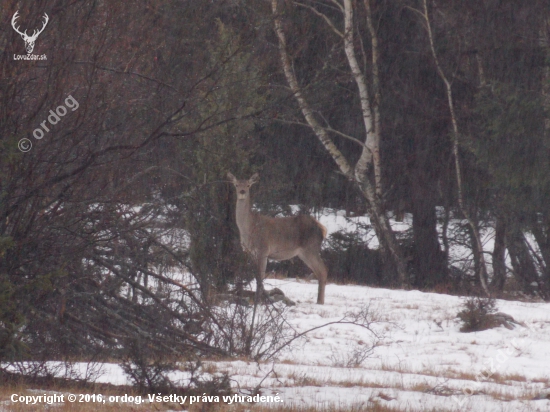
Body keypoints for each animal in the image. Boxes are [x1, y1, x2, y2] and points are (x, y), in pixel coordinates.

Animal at [227, 172, 328, 304]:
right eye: (236, 184)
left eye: (248, 185)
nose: (242, 191)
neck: (249, 228)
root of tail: (322, 228)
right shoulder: (251, 253)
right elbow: (257, 277)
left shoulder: (263, 249)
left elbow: (260, 278)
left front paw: (259, 301)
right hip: (304, 253)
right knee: (319, 271)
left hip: (310, 248)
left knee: (323, 271)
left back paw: (320, 302)